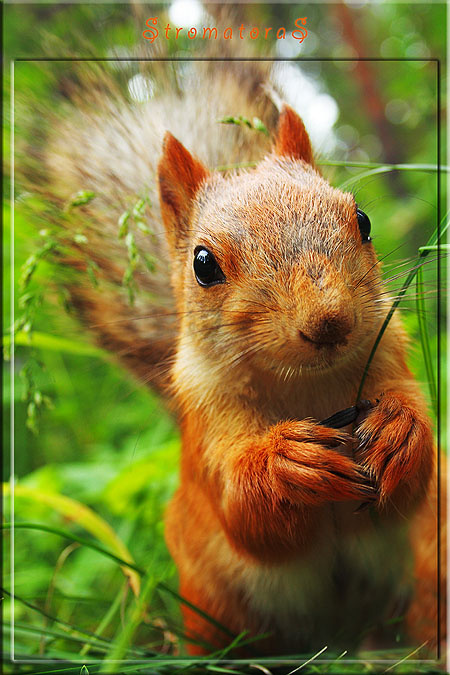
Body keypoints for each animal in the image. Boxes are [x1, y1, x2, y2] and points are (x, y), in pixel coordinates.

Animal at [20, 59, 442, 659]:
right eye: (203, 263)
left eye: (361, 220)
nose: (329, 322)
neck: (305, 387)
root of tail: (340, 634)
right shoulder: (207, 429)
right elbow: (245, 513)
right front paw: (286, 462)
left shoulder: (391, 365)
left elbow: (415, 475)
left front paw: (397, 432)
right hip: (212, 603)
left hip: (432, 557)